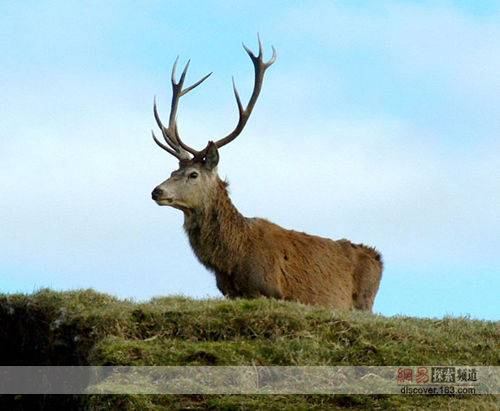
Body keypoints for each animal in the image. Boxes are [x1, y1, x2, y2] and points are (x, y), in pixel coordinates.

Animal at [149, 38, 382, 310]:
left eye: (193, 174)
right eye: (173, 170)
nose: (157, 191)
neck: (233, 259)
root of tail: (378, 258)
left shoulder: (269, 290)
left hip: (364, 302)